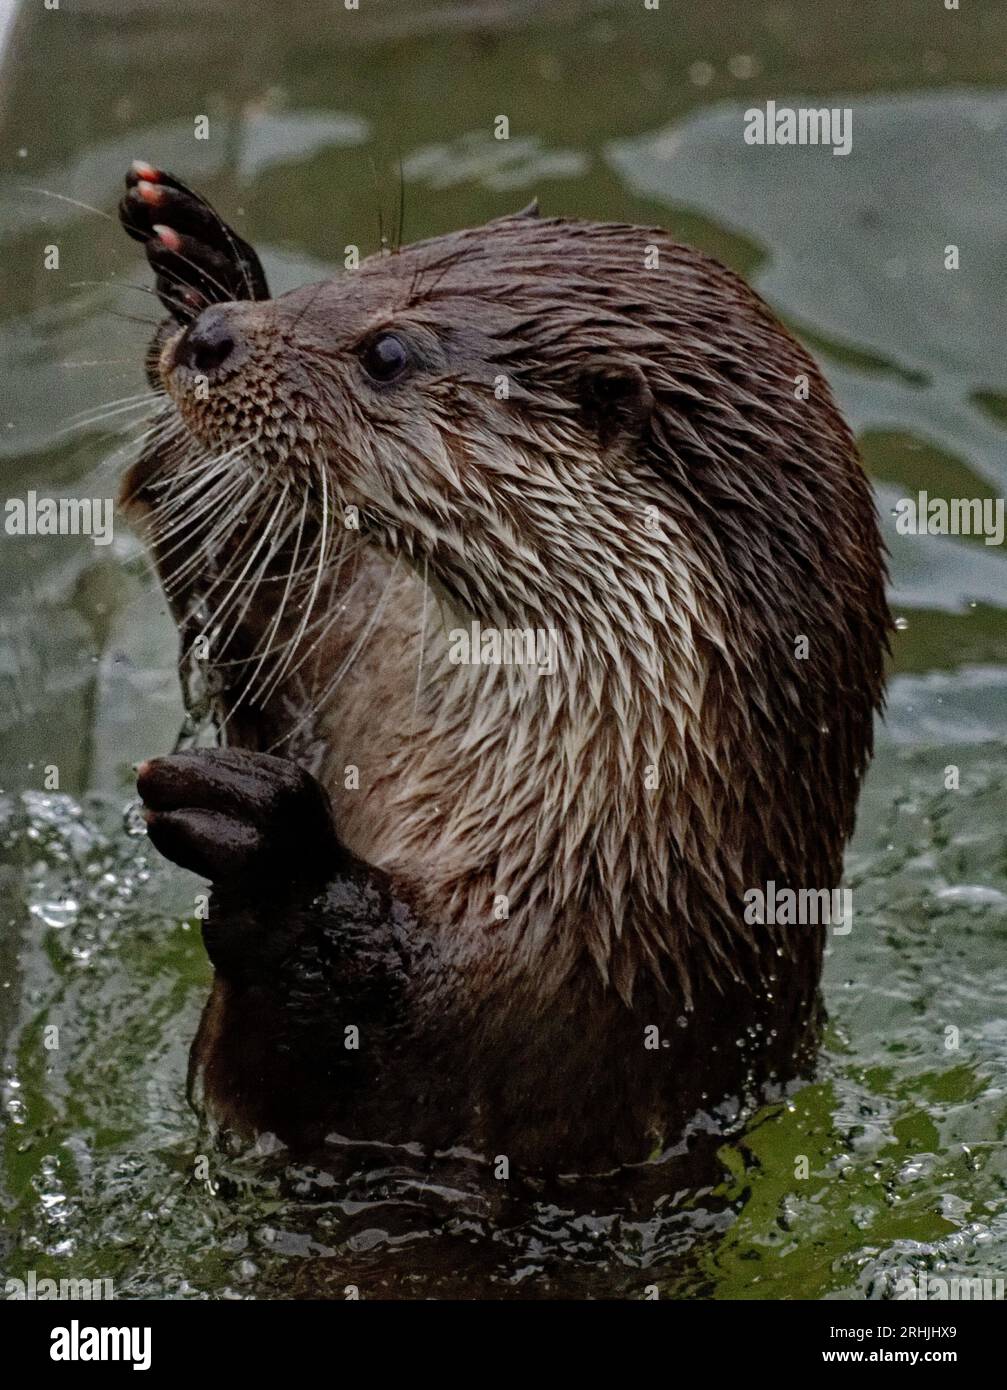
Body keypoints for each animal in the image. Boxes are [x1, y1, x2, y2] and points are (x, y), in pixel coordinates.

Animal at [117, 163, 889, 1175]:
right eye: (369, 263)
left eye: (387, 353)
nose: (212, 338)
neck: (613, 869)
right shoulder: (346, 691)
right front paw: (198, 257)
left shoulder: (543, 1037)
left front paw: (279, 855)